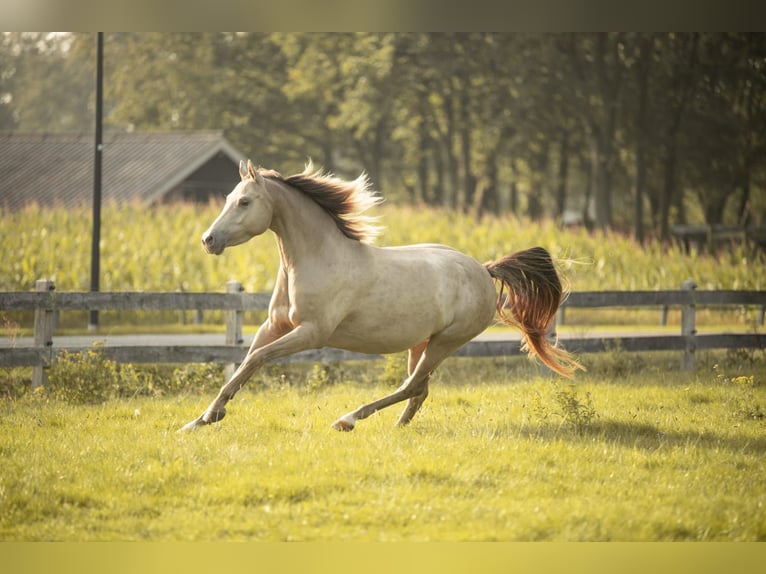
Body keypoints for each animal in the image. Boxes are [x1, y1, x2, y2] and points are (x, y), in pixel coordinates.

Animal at [182, 161, 584, 432]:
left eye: (245, 202)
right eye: (229, 198)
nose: (207, 240)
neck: (317, 258)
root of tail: (484, 270)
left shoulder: (311, 332)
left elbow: (256, 359)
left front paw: (210, 417)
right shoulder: (274, 326)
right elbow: (243, 365)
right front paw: (200, 419)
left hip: (447, 341)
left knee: (412, 385)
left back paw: (348, 419)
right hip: (422, 342)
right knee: (419, 389)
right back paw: (397, 429)